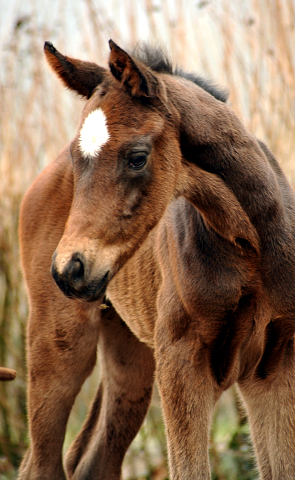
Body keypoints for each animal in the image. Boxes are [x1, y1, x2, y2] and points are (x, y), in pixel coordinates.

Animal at [18, 41, 295, 480]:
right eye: (77, 158)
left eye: (137, 157)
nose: (69, 270)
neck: (250, 250)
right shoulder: (182, 364)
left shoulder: (275, 367)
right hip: (59, 342)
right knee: (41, 464)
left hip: (129, 352)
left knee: (94, 461)